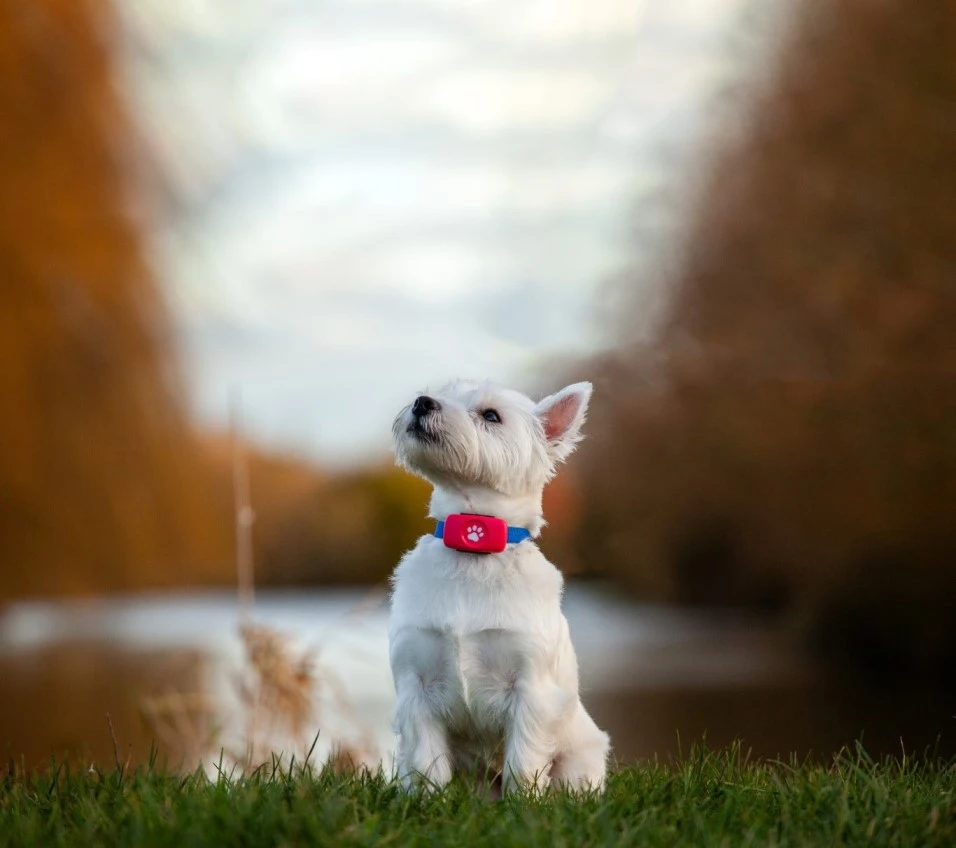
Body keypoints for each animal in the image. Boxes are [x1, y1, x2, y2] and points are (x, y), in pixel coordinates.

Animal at [390, 380, 608, 792]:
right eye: (440, 391)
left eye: (491, 415)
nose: (421, 402)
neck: (473, 548)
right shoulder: (416, 684)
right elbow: (427, 762)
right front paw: (429, 800)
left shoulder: (530, 690)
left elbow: (523, 762)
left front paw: (524, 803)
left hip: (580, 759)